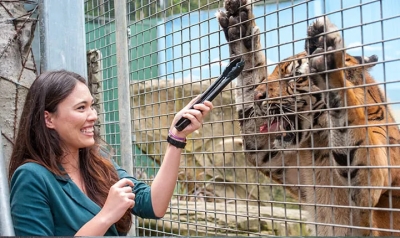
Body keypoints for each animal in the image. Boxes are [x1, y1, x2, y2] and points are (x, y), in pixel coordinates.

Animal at [217, 0, 400, 235]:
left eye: (293, 76)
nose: (258, 96)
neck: (319, 142)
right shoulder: (269, 154)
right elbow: (248, 74)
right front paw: (239, 27)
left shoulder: (371, 183)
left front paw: (327, 55)